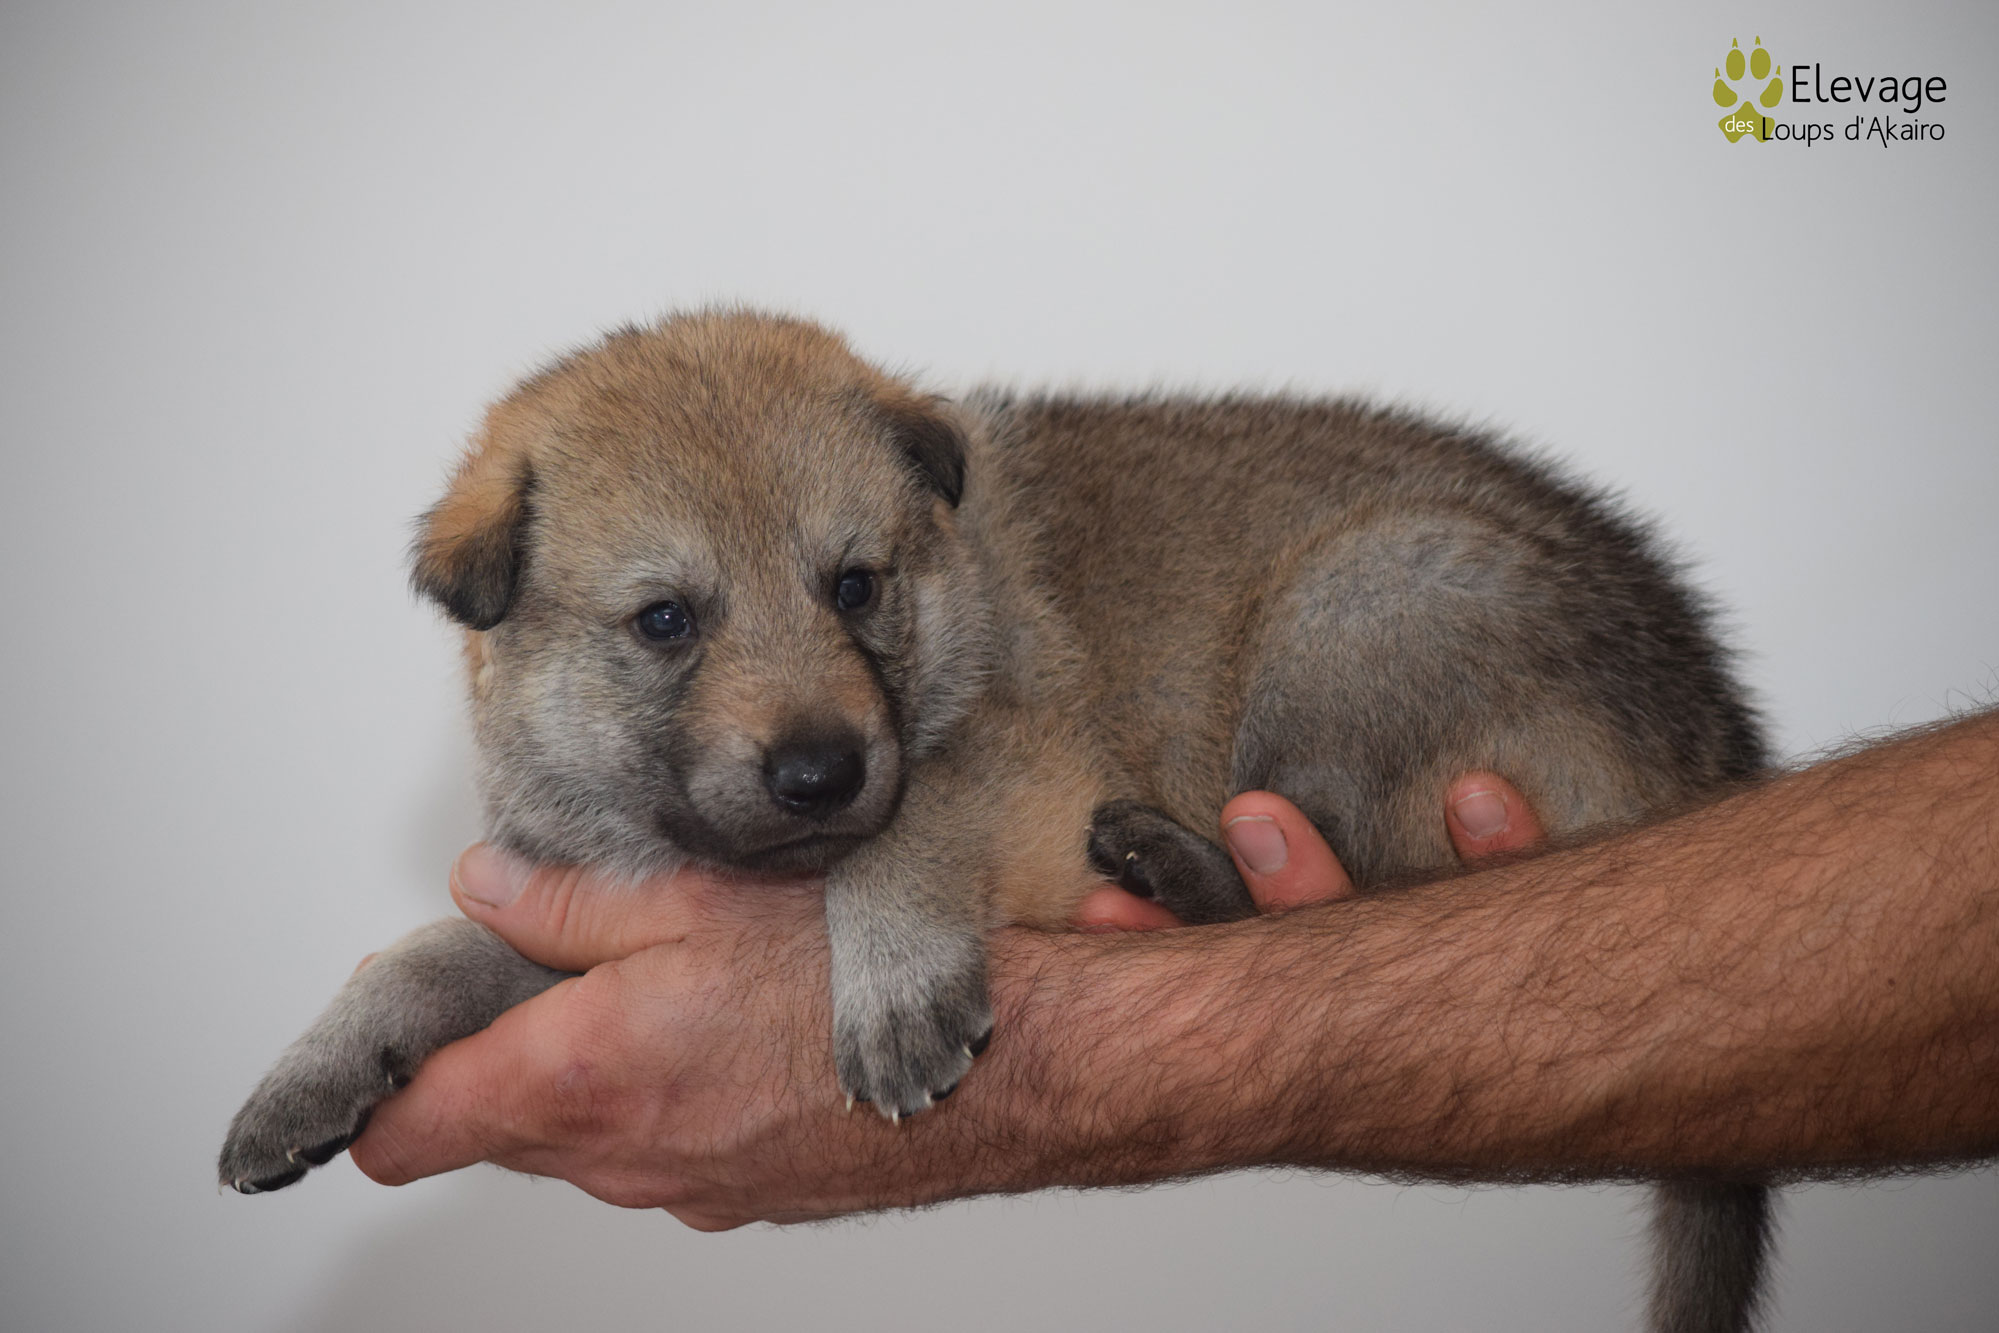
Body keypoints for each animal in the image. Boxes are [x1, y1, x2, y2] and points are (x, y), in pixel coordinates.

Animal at [221, 310, 1774, 1332]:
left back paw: (1169, 863)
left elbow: (906, 835)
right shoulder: (587, 907)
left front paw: (892, 979)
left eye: (854, 586)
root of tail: (1713, 731)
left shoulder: (1014, 769)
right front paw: (314, 1069)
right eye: (665, 622)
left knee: (1335, 886)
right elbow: (426, 954)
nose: (818, 771)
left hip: (1359, 607)